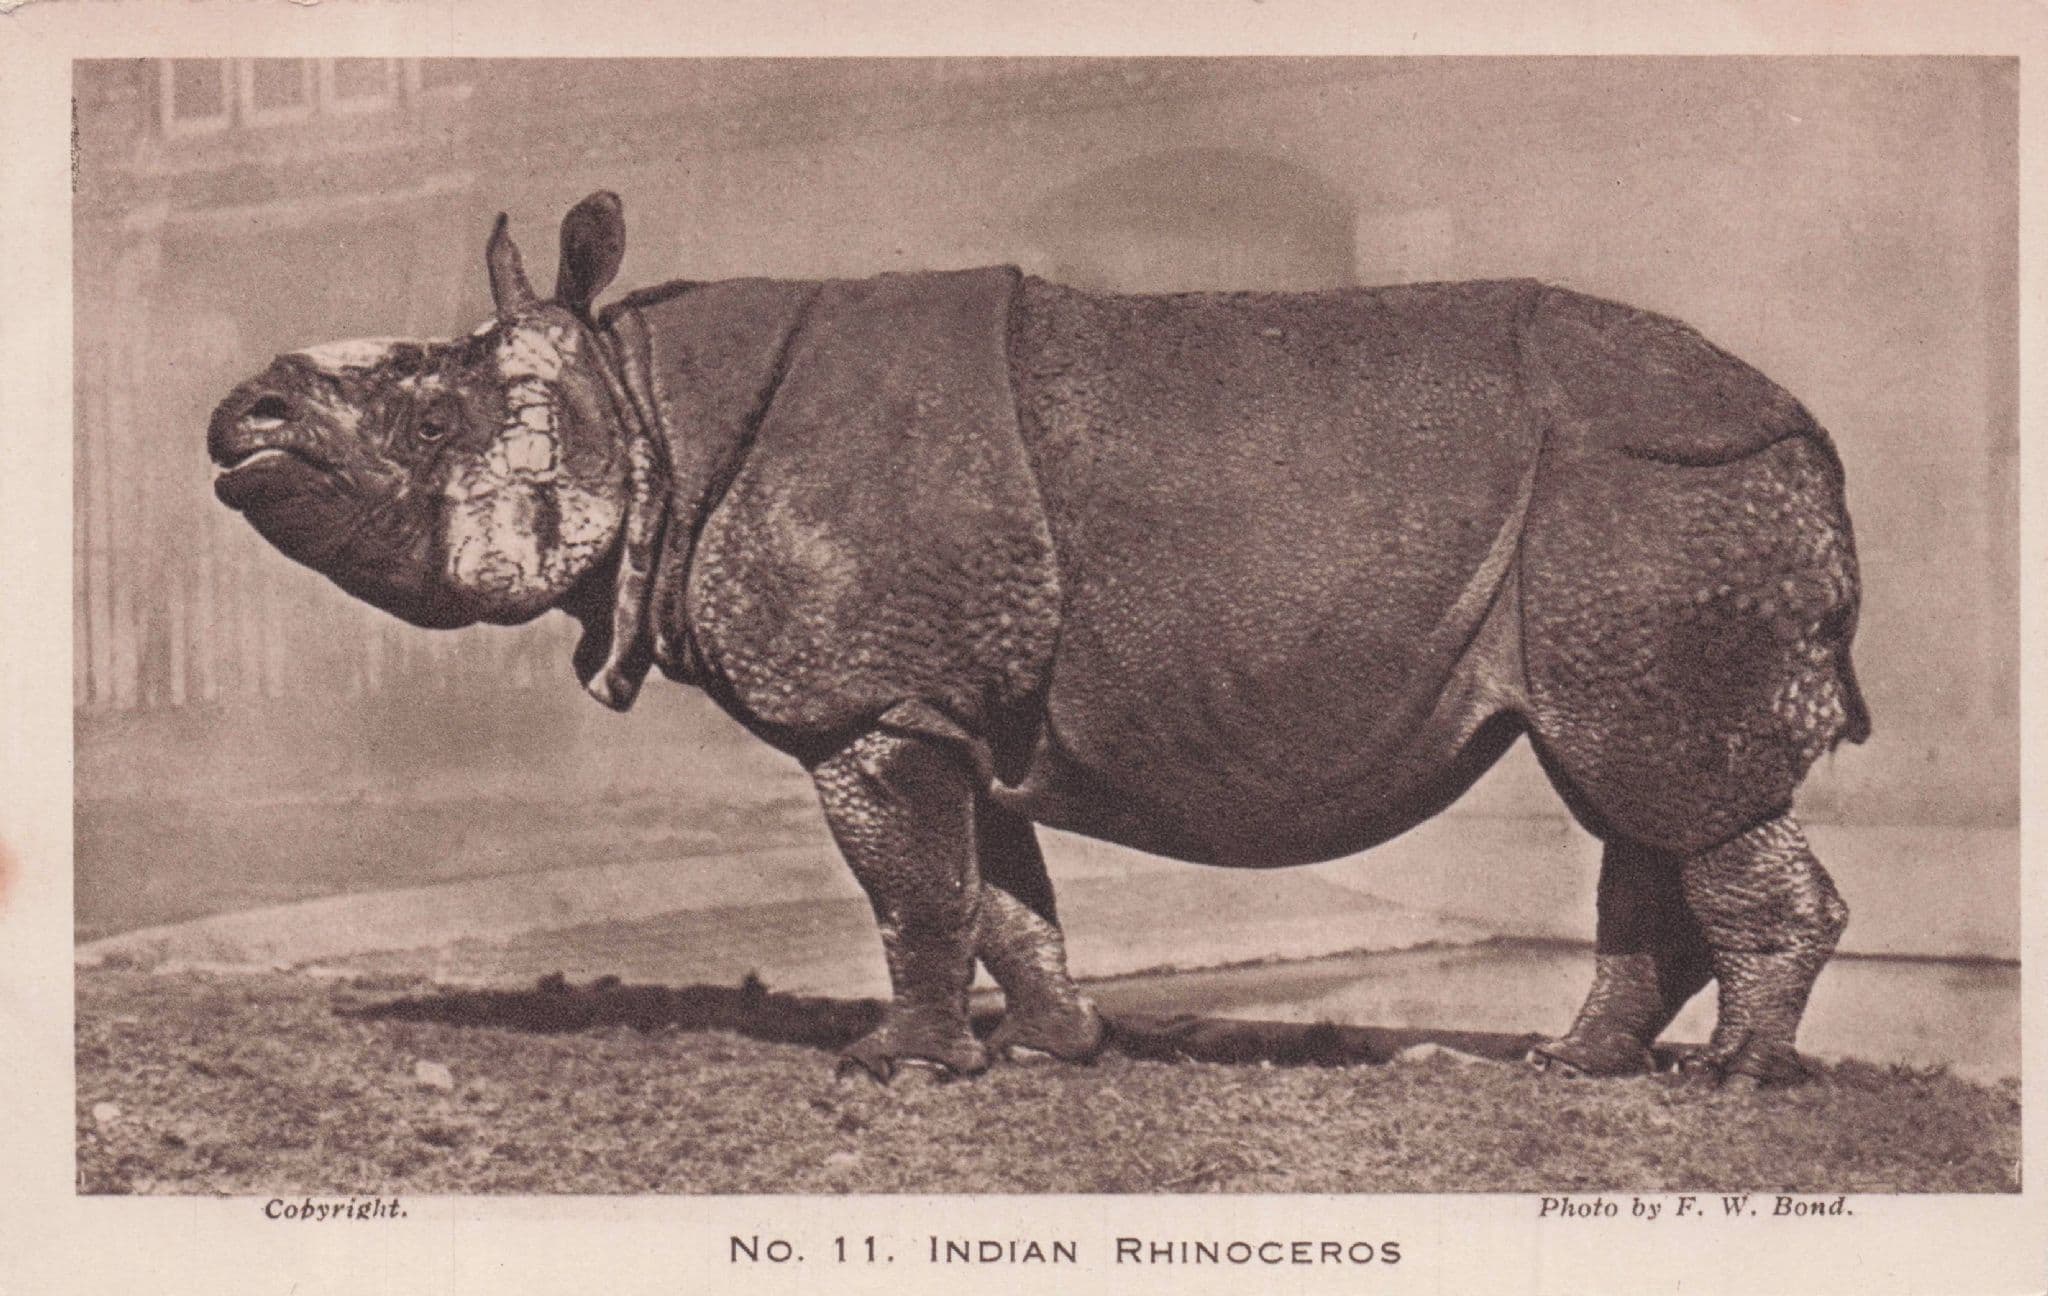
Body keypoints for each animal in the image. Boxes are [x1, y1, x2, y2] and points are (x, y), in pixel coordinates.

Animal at [208, 192, 1869, 1086]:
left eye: (431, 421)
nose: (240, 419)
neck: (644, 396)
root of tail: (1812, 430)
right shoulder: (941, 696)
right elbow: (996, 890)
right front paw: (1055, 1052)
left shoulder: (875, 699)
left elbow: (912, 891)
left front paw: (894, 1072)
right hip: (1638, 520)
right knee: (1639, 798)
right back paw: (1571, 1069)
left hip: (1658, 492)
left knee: (1676, 794)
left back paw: (1727, 1085)